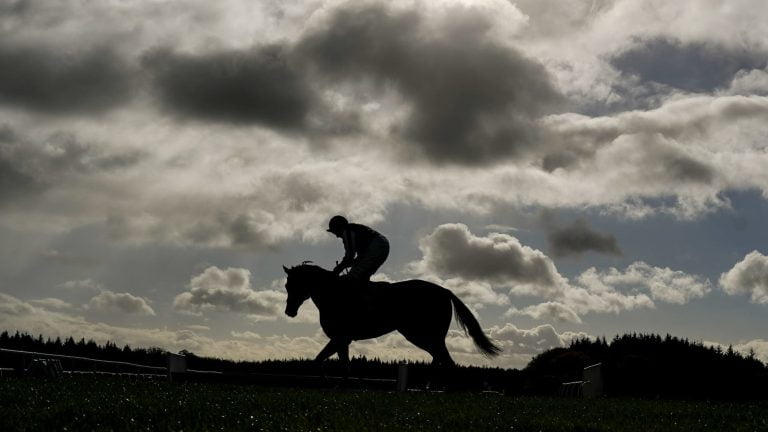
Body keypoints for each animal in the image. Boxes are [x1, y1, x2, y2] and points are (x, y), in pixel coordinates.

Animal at [280, 262, 498, 366]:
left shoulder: (340, 338)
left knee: (444, 359)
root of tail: (445, 291)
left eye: (295, 285)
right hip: (426, 337)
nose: (289, 311)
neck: (334, 294)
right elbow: (341, 364)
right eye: (287, 285)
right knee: (440, 358)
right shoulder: (342, 340)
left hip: (422, 335)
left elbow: (318, 359)